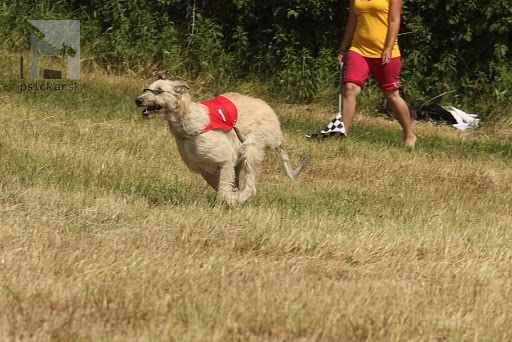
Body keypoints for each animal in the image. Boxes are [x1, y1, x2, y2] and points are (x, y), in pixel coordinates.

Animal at [136, 71, 310, 206]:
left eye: (159, 91)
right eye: (147, 88)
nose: (138, 100)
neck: (188, 123)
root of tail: (275, 120)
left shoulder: (225, 159)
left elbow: (223, 190)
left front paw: (229, 200)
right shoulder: (205, 168)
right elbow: (223, 185)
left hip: (252, 146)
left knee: (251, 187)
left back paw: (240, 198)